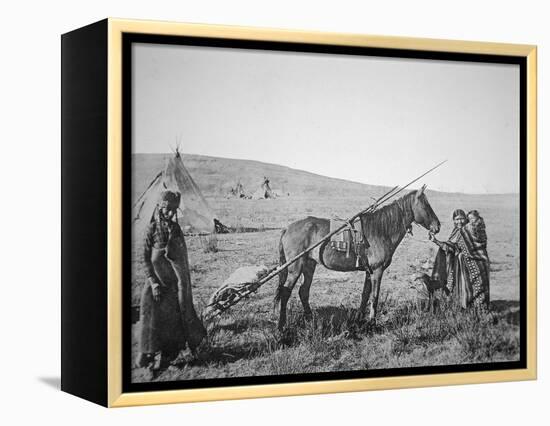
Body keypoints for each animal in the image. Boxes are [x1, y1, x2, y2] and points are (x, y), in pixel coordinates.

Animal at [278, 186, 442, 330]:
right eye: (426, 205)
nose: (438, 226)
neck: (381, 230)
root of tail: (287, 228)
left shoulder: (369, 271)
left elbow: (365, 295)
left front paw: (359, 320)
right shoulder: (377, 270)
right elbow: (375, 296)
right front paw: (372, 322)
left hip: (309, 265)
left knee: (303, 291)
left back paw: (310, 319)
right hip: (295, 267)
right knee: (286, 292)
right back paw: (282, 326)